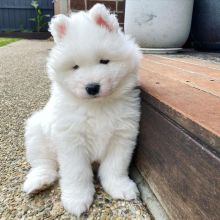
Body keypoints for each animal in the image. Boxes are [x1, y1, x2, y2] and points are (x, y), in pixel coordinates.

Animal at [23, 3, 141, 217]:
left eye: (104, 61)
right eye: (75, 67)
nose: (92, 87)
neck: (97, 106)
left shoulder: (122, 136)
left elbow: (115, 166)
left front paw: (119, 187)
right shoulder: (72, 141)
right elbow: (76, 172)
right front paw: (77, 198)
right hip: (36, 132)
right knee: (43, 162)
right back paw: (39, 181)